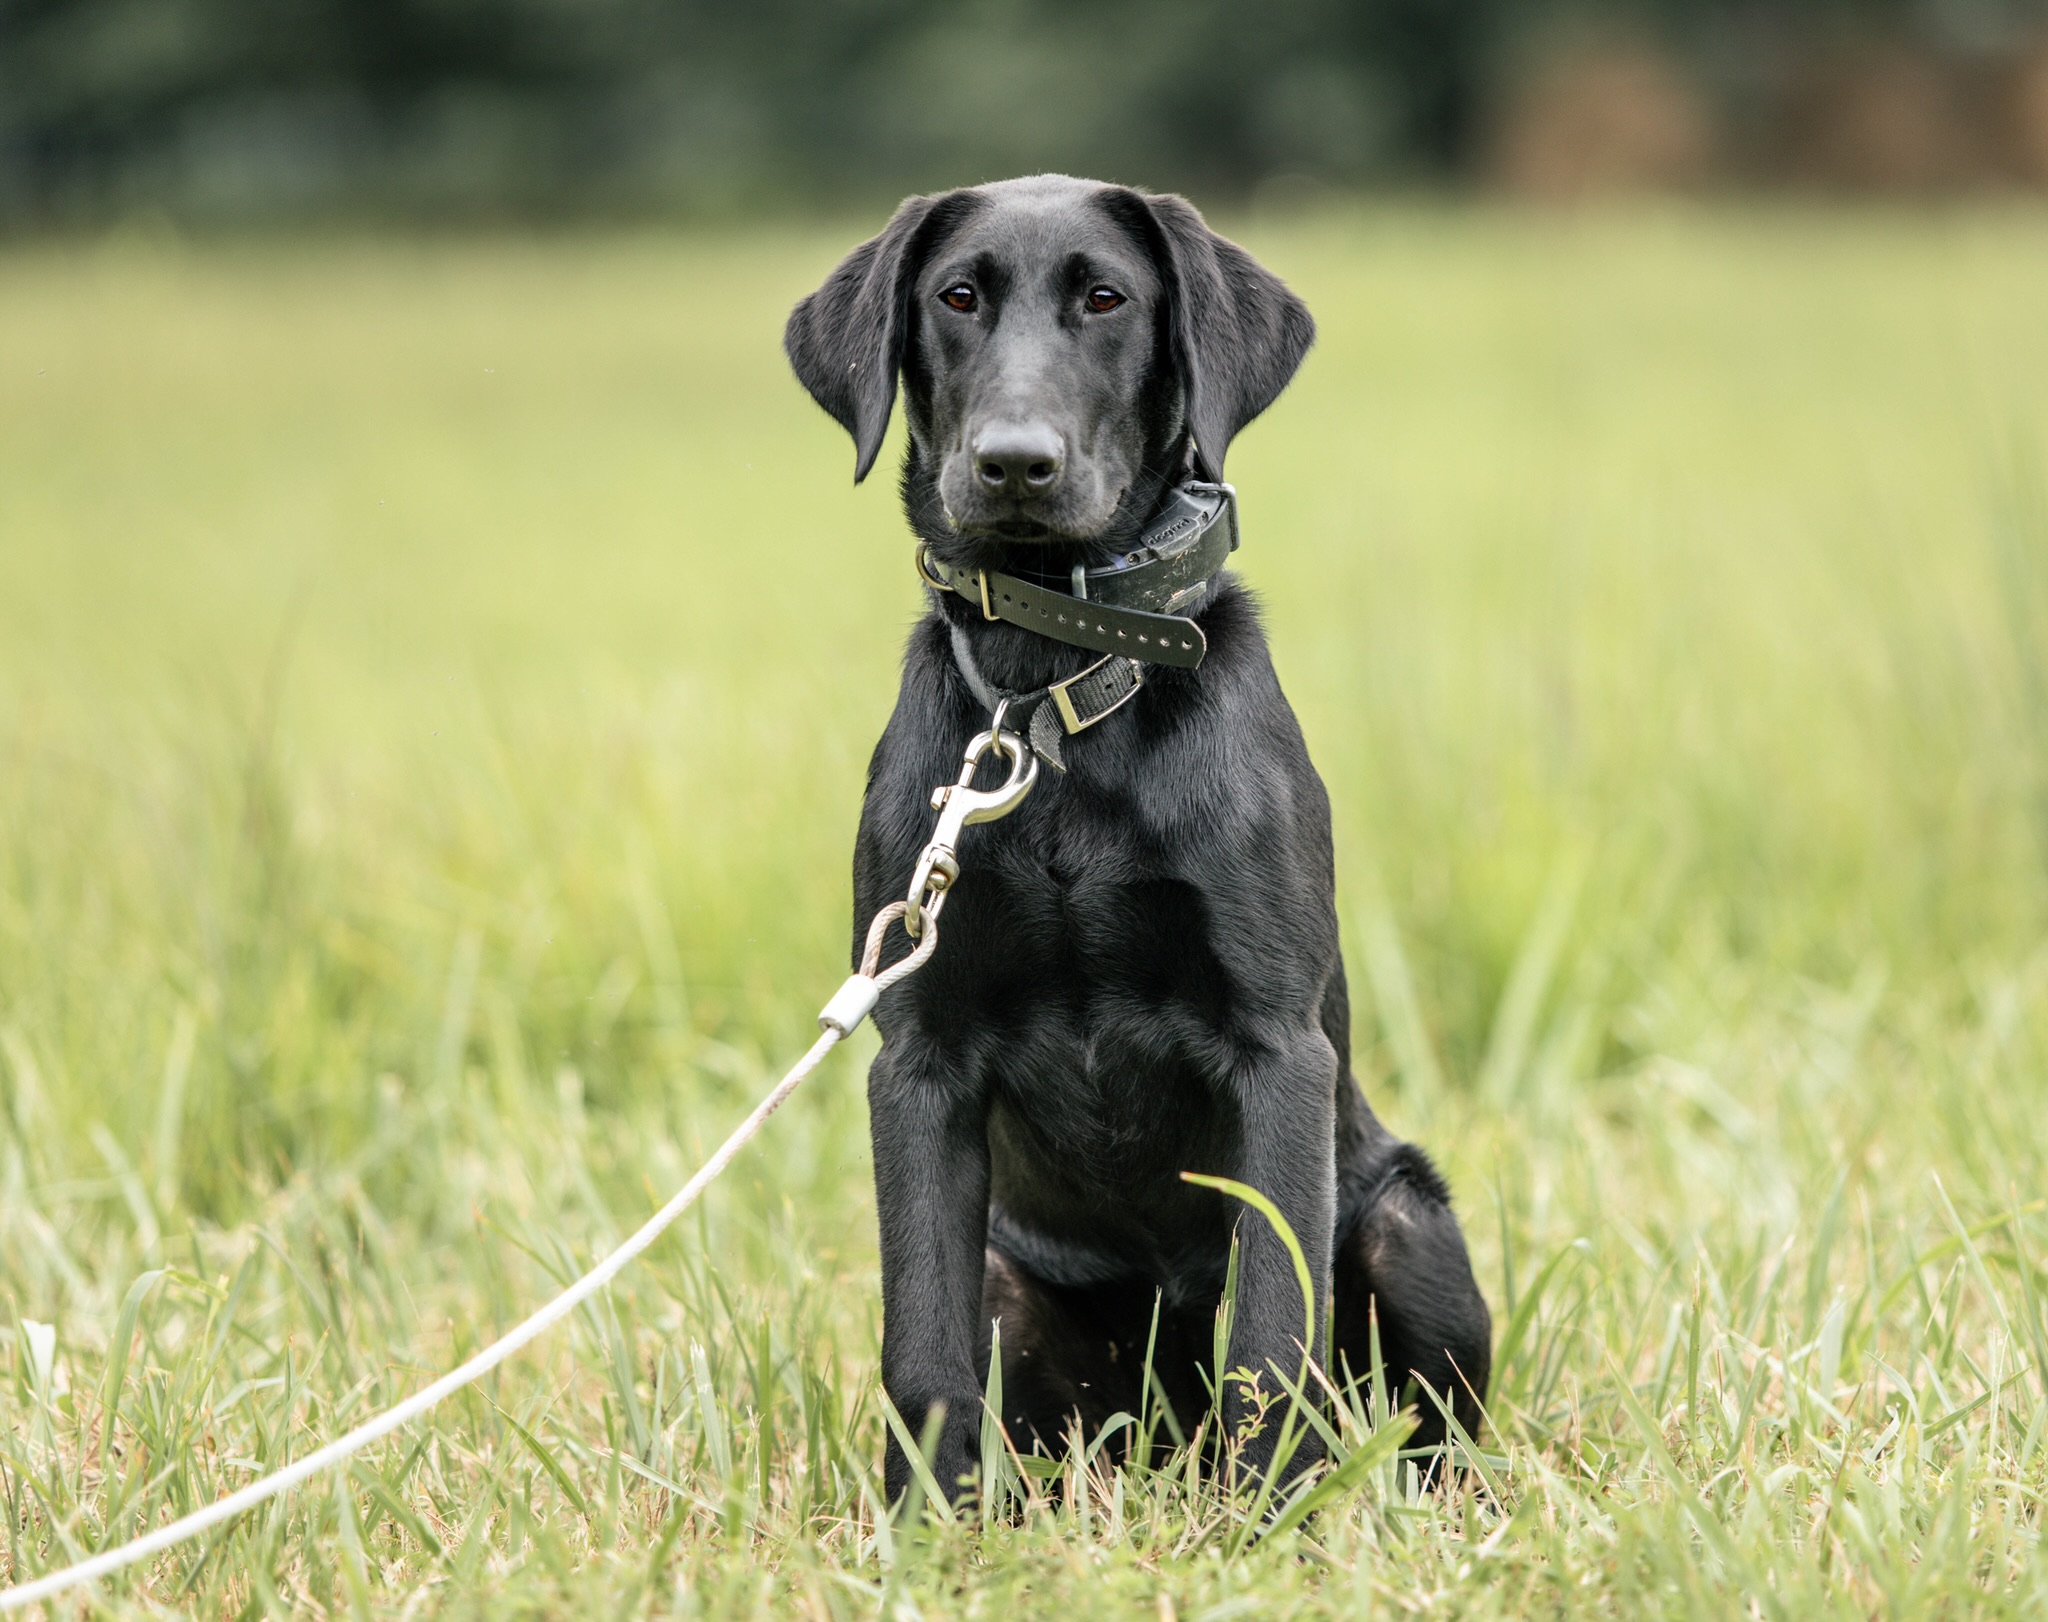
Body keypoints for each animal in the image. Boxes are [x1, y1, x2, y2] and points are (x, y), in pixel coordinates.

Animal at [782, 177, 1490, 1507]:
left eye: (1106, 297)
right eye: (956, 296)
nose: (1013, 463)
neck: (1053, 691)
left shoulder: (1277, 1049)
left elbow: (1269, 1335)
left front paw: (1269, 1523)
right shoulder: (918, 1060)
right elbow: (921, 1348)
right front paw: (919, 1531)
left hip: (1401, 1220)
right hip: (1018, 1284)